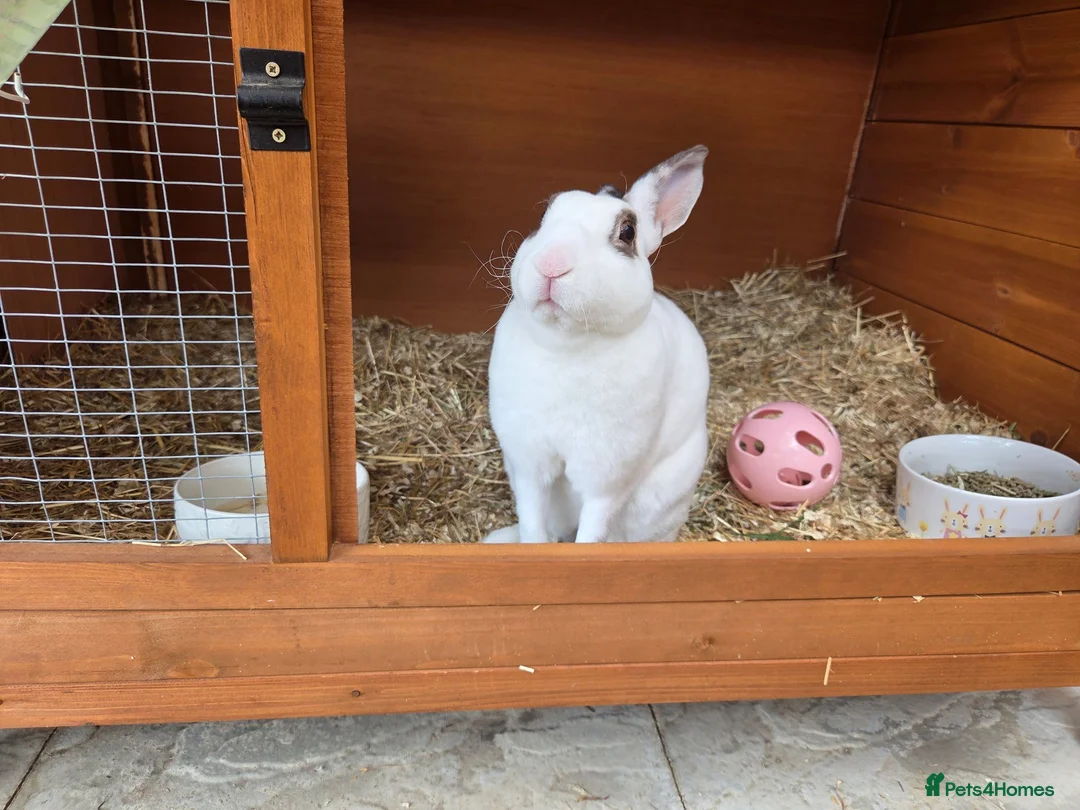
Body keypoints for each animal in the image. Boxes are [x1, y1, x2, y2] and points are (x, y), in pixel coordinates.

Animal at [483, 146, 711, 544]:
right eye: (542, 217)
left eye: (627, 232)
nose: (551, 263)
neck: (567, 343)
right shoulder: (528, 465)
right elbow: (532, 522)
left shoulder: (607, 481)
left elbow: (591, 532)